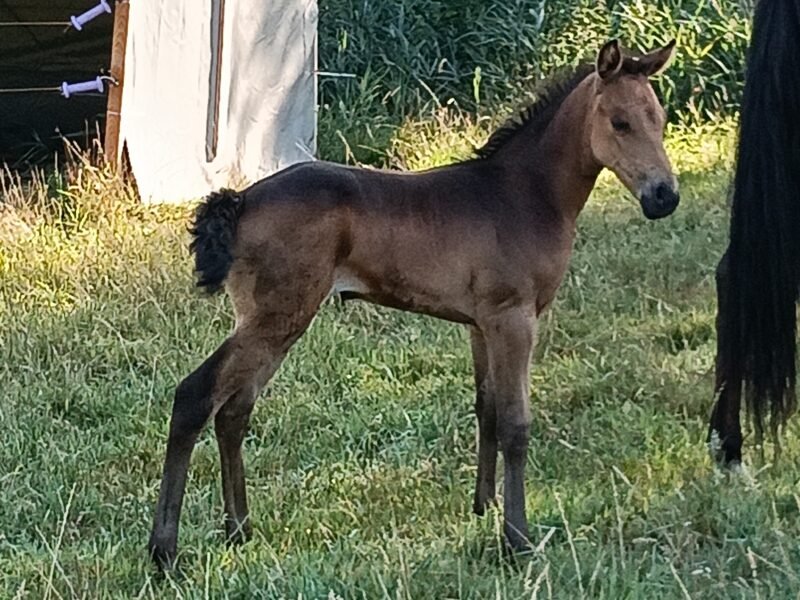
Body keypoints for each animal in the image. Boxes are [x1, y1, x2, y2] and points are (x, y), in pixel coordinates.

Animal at [148, 39, 680, 567]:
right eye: (620, 122)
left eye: (659, 118)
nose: (664, 197)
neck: (523, 195)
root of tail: (240, 201)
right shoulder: (514, 319)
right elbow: (515, 424)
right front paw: (517, 538)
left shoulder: (480, 324)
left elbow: (486, 408)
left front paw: (483, 507)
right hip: (278, 317)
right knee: (196, 396)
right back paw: (164, 550)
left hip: (272, 321)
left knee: (234, 412)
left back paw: (239, 529)